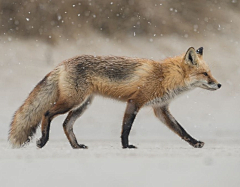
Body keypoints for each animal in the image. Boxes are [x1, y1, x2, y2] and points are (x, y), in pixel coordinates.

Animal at [8, 47, 221, 149]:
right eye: (205, 74)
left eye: (210, 73)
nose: (219, 85)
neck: (165, 76)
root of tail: (62, 63)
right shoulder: (135, 101)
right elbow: (126, 128)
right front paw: (126, 146)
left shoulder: (160, 109)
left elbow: (181, 130)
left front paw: (195, 143)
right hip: (72, 101)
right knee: (46, 113)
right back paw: (43, 140)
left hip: (83, 104)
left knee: (66, 124)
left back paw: (76, 146)